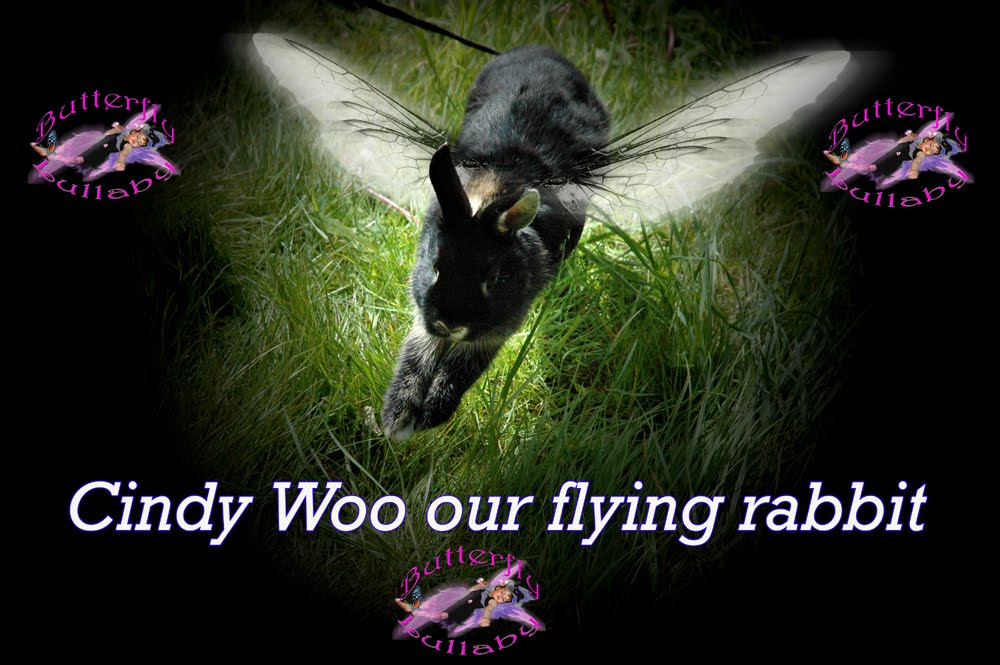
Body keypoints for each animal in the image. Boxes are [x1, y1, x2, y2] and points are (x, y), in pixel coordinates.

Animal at [381, 45, 610, 441]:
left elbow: (462, 368)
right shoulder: (423, 317)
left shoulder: (497, 328)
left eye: (494, 280)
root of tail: (542, 51)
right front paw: (397, 417)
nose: (450, 324)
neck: (492, 191)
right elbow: (417, 353)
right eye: (435, 267)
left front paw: (431, 413)